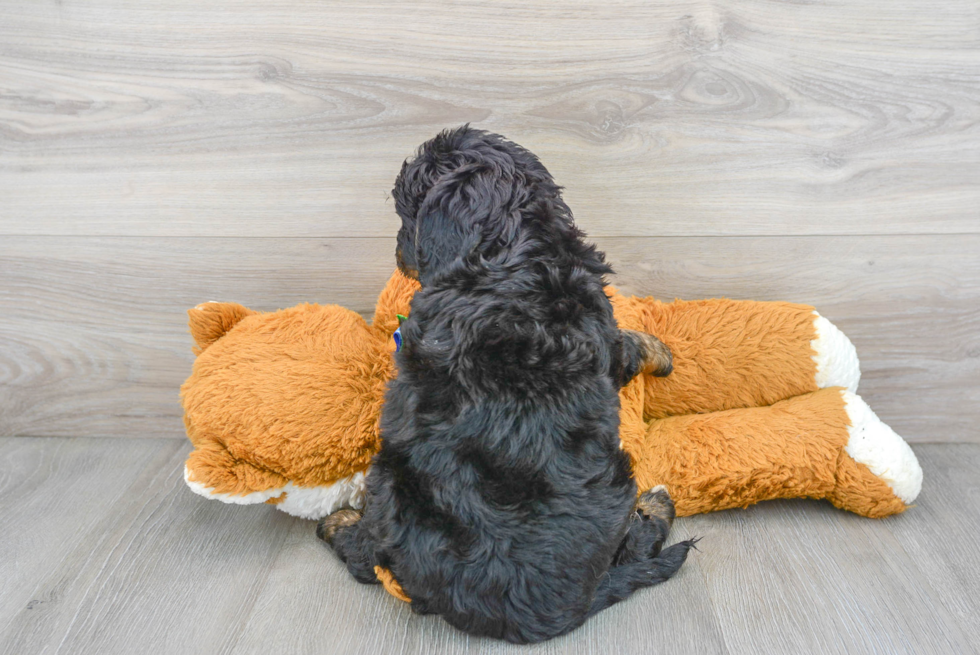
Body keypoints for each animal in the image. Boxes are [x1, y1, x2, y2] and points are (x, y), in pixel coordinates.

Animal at [318, 125, 692, 644]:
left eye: (404, 212)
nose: (397, 255)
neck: (510, 252)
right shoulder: (604, 337)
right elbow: (628, 342)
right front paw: (661, 352)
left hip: (390, 476)